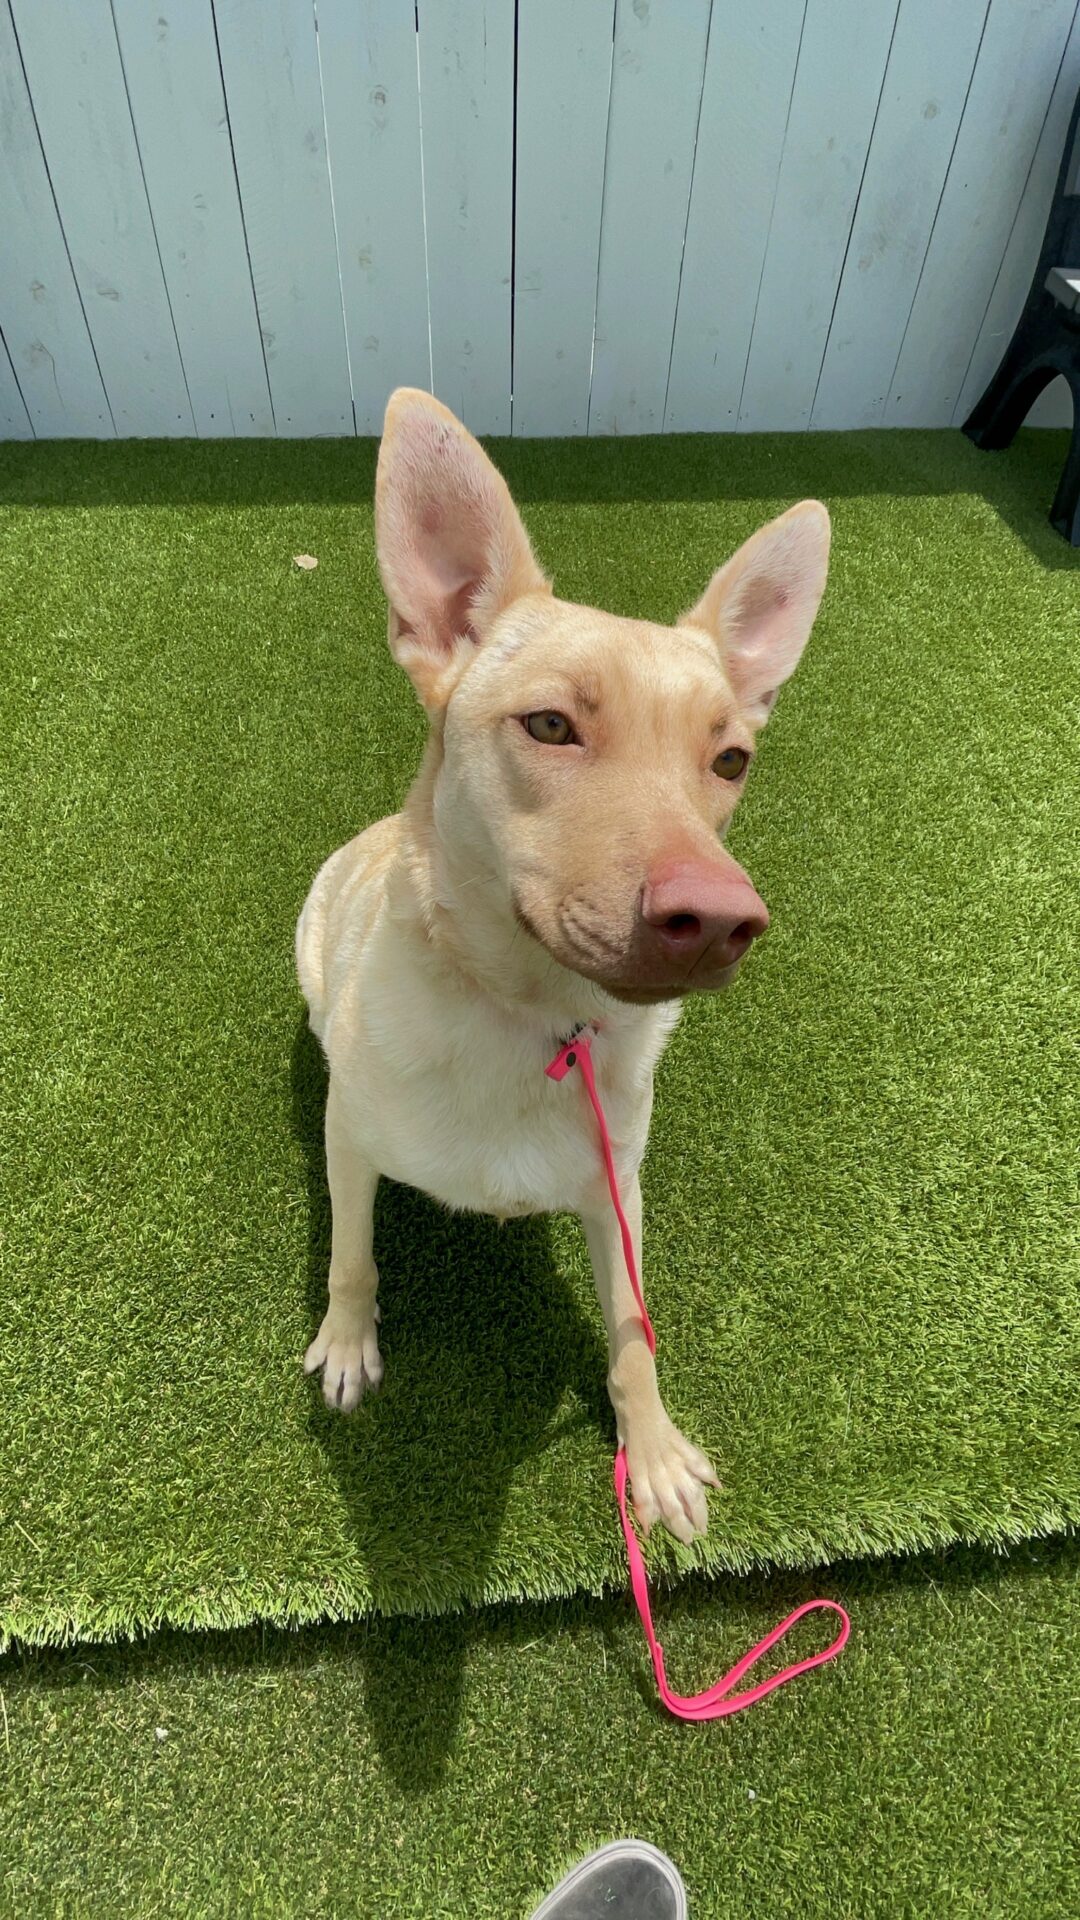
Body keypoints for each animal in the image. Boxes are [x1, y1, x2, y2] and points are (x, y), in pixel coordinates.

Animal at [295, 389, 830, 1545]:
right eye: (549, 724)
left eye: (730, 760)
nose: (722, 919)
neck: (528, 1020)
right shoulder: (352, 1149)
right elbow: (353, 1256)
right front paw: (350, 1342)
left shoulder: (613, 1192)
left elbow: (632, 1334)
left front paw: (653, 1451)